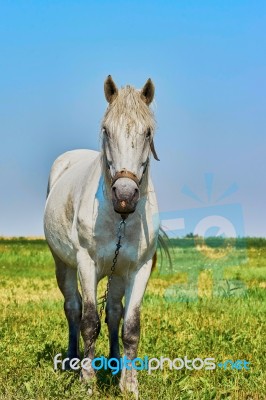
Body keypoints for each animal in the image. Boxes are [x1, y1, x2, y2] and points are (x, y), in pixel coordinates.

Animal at [44, 75, 160, 396]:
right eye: (107, 130)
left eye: (148, 132)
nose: (125, 195)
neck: (120, 219)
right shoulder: (87, 264)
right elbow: (89, 321)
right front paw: (88, 381)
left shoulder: (139, 269)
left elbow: (130, 326)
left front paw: (129, 385)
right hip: (63, 264)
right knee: (72, 308)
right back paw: (72, 360)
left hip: (117, 274)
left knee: (114, 313)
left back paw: (115, 362)